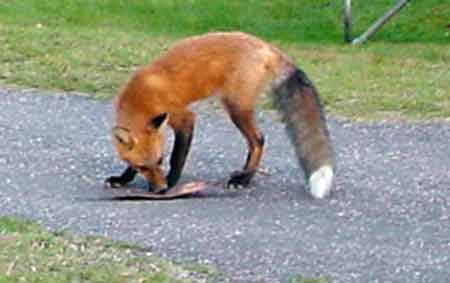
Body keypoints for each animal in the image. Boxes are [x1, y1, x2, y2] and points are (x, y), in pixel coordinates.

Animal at [106, 31, 334, 200]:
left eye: (160, 160)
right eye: (143, 167)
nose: (160, 189)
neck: (140, 98)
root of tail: (266, 47)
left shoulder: (185, 118)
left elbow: (177, 158)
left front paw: (171, 182)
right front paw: (123, 178)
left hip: (236, 108)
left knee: (258, 140)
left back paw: (244, 180)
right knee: (254, 143)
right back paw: (242, 175)